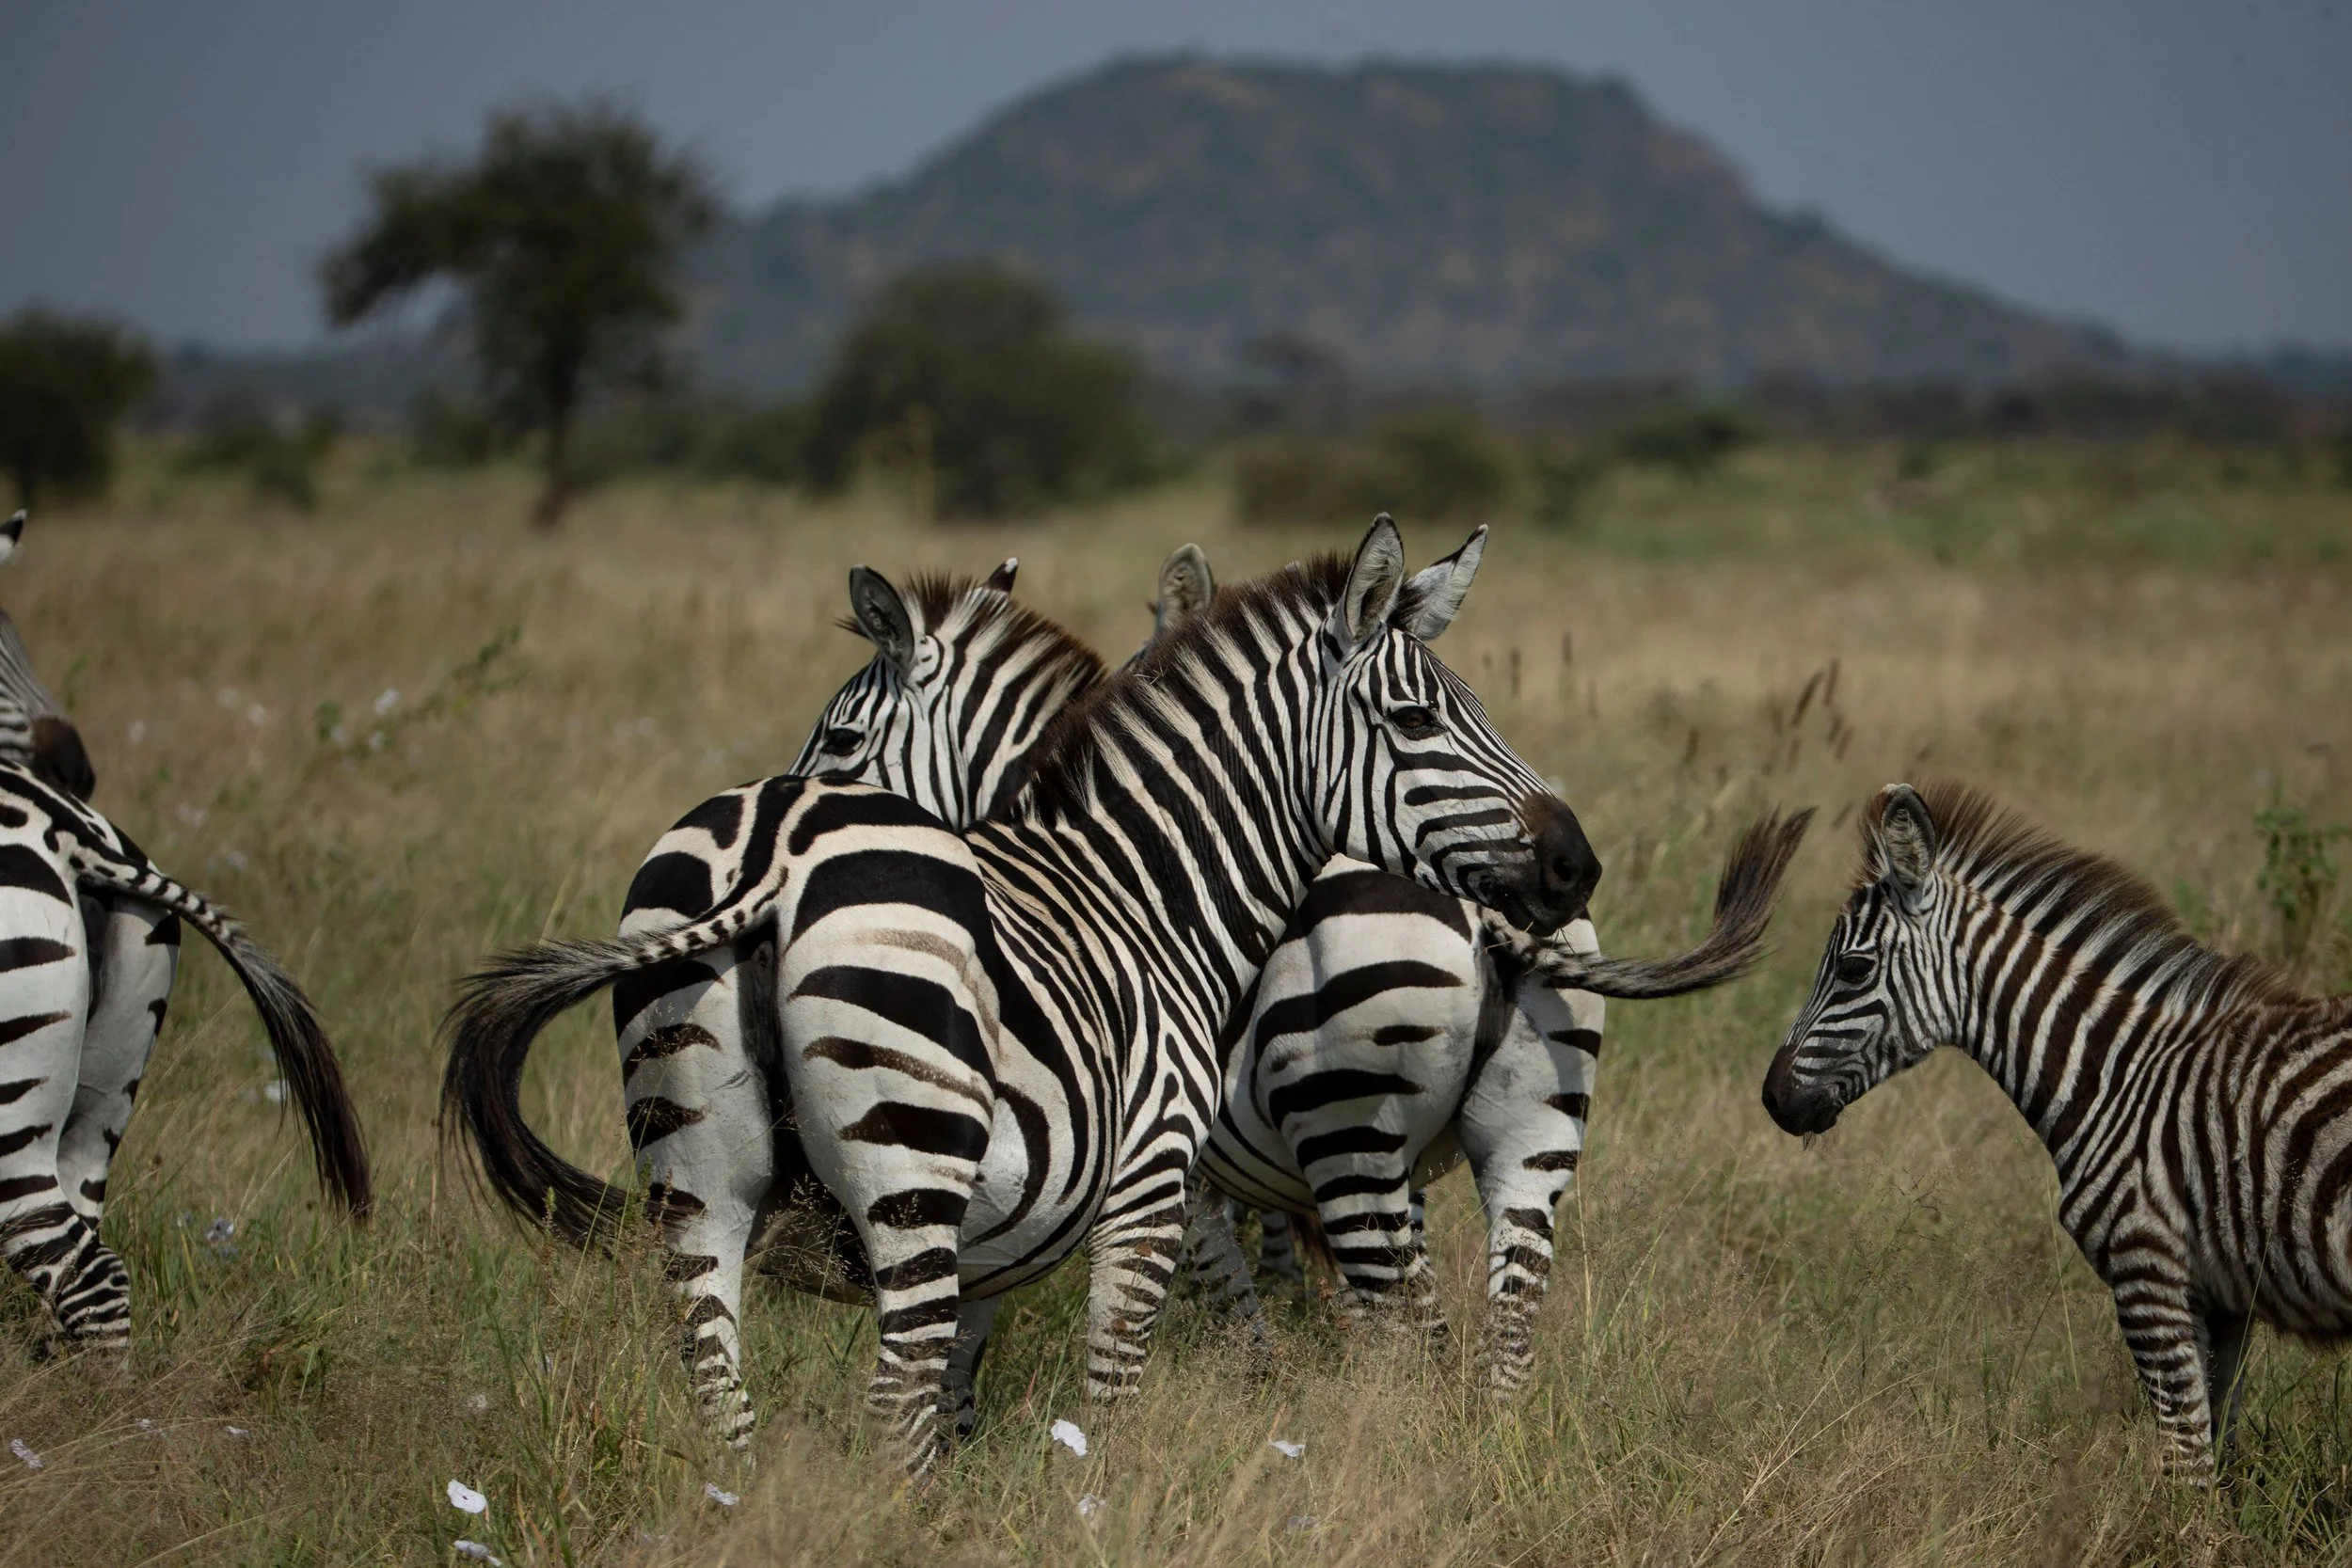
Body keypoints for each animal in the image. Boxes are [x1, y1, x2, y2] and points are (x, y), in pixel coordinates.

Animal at [445, 517, 1609, 1475]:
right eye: (1416, 718)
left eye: (838, 738)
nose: (1574, 865)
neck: (1141, 885)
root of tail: (772, 847)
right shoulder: (1156, 1177)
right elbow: (1129, 1384)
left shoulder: (1033, 1226)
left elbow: (970, 1405)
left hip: (702, 1169)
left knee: (732, 1389)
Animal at [1762, 780, 2352, 1481]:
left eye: (1853, 968)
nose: (1773, 1098)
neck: (2122, 1074)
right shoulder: (2226, 1297)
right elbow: (2219, 1453)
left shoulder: (2148, 1271)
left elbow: (2185, 1463)